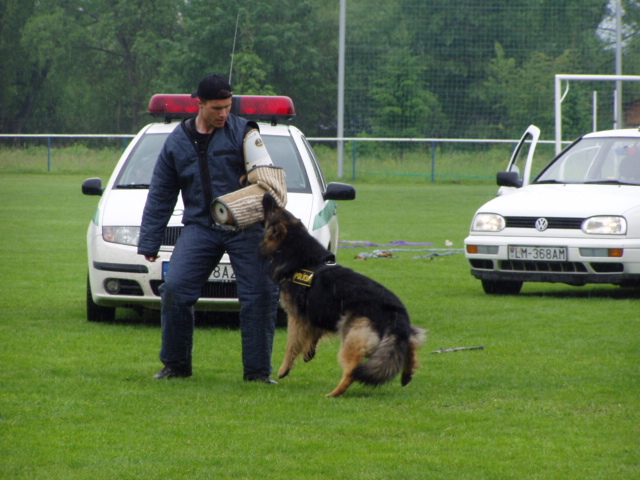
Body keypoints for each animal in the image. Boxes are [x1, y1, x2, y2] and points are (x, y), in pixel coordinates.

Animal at [260, 193, 426, 397]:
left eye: (273, 209)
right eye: (280, 208)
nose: (267, 195)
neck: (304, 259)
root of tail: (395, 311)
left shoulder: (297, 319)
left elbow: (292, 345)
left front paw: (284, 369)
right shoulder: (316, 315)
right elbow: (314, 334)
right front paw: (309, 352)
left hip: (351, 337)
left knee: (353, 370)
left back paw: (335, 393)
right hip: (392, 338)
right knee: (410, 345)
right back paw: (407, 374)